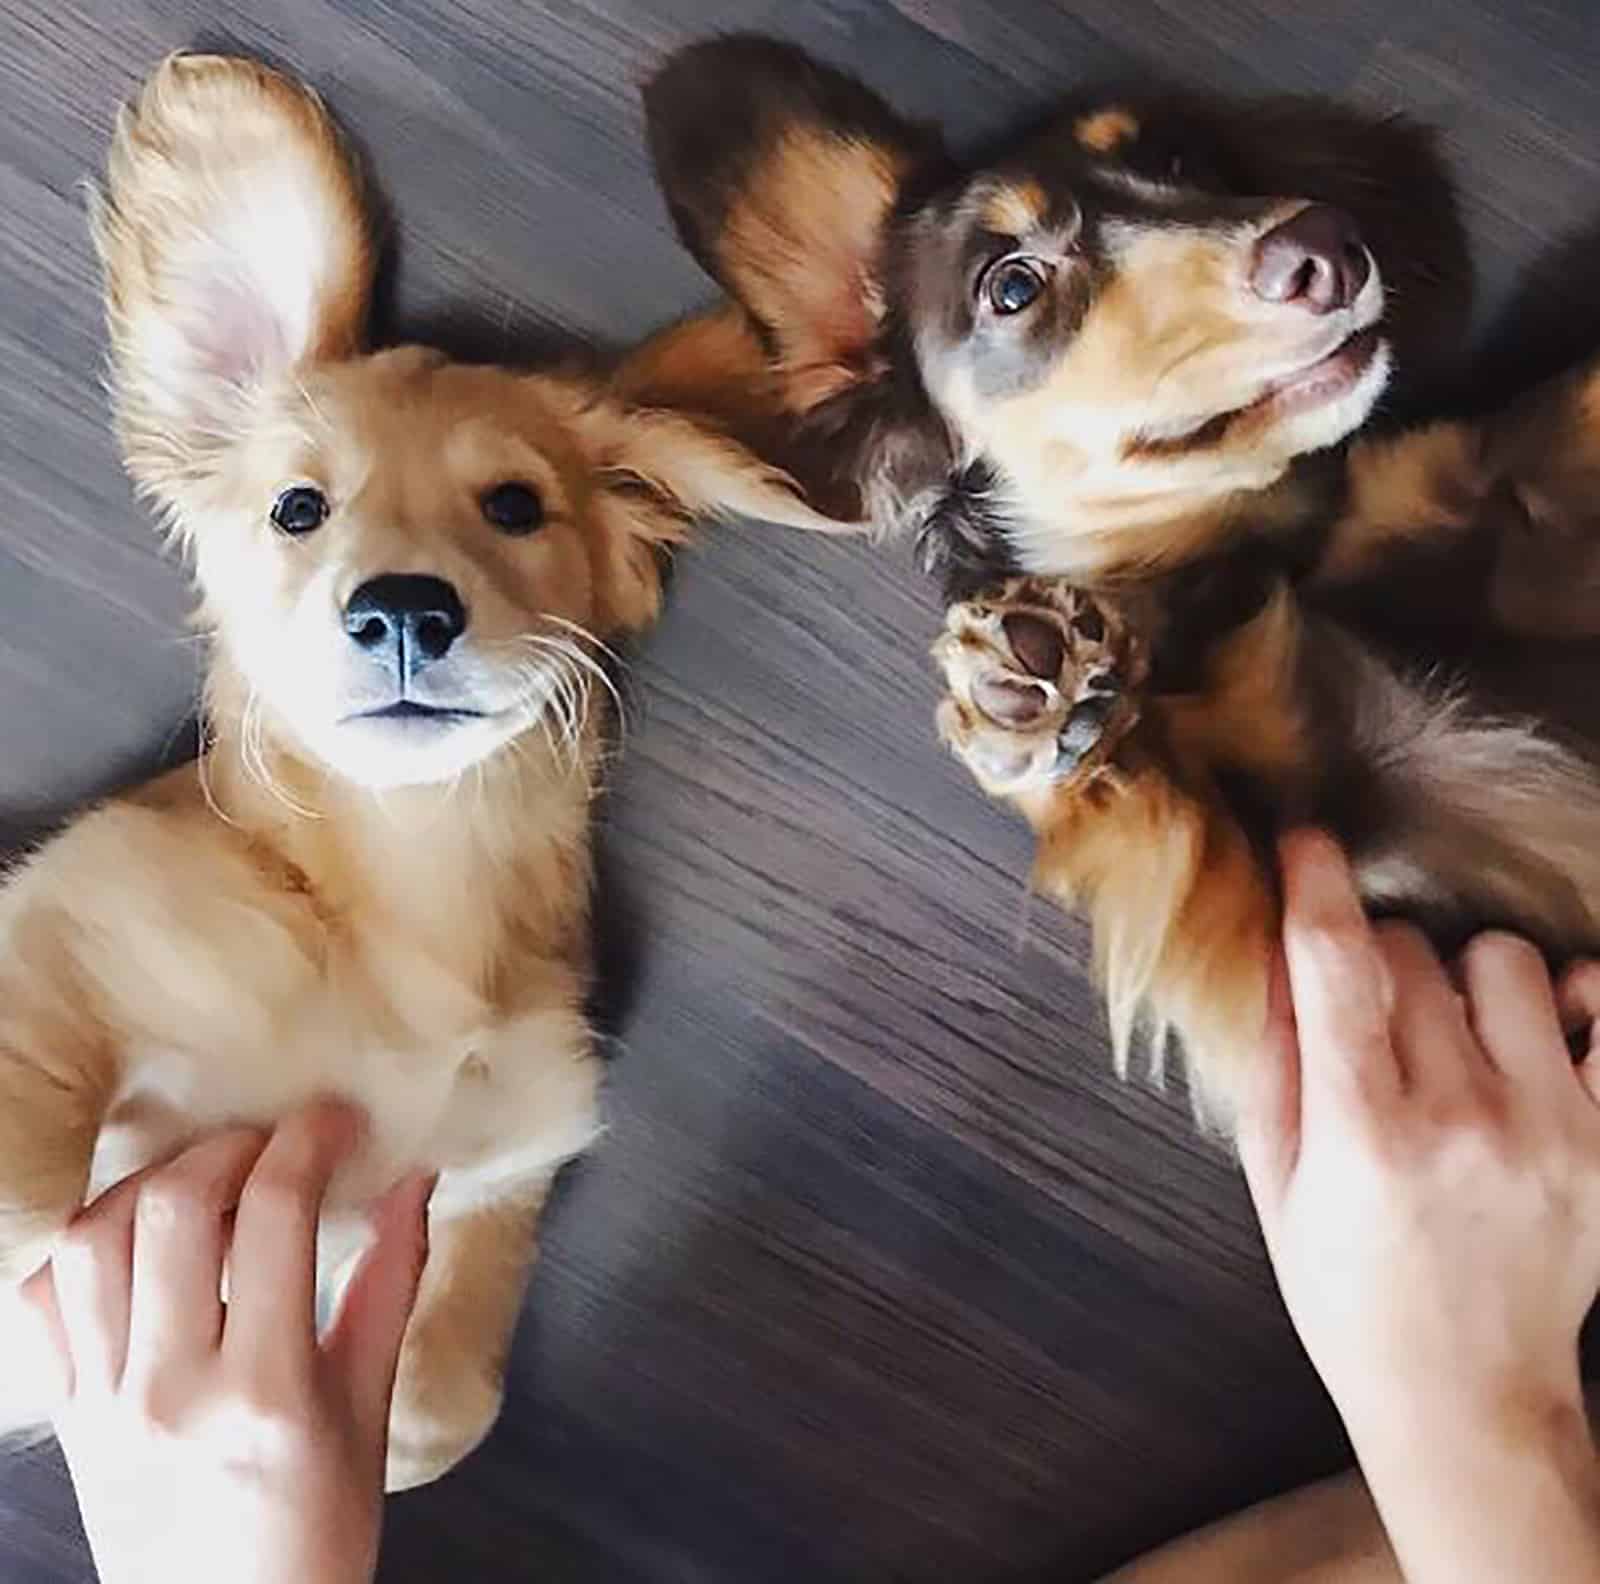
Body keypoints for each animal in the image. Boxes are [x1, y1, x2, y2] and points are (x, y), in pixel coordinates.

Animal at [0, 49, 825, 1484]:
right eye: (298, 509)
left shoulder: (505, 1150)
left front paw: (380, 1433)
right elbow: (31, 1173)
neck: (406, 900)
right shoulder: (65, 903)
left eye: (515, 505)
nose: (400, 609)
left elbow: (449, 1400)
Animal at [640, 40, 1600, 1126]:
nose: (1330, 247)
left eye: (1183, 163)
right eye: (1013, 286)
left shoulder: (1477, 480)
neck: (1241, 562)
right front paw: (1028, 694)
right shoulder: (1280, 947)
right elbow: (1142, 808)